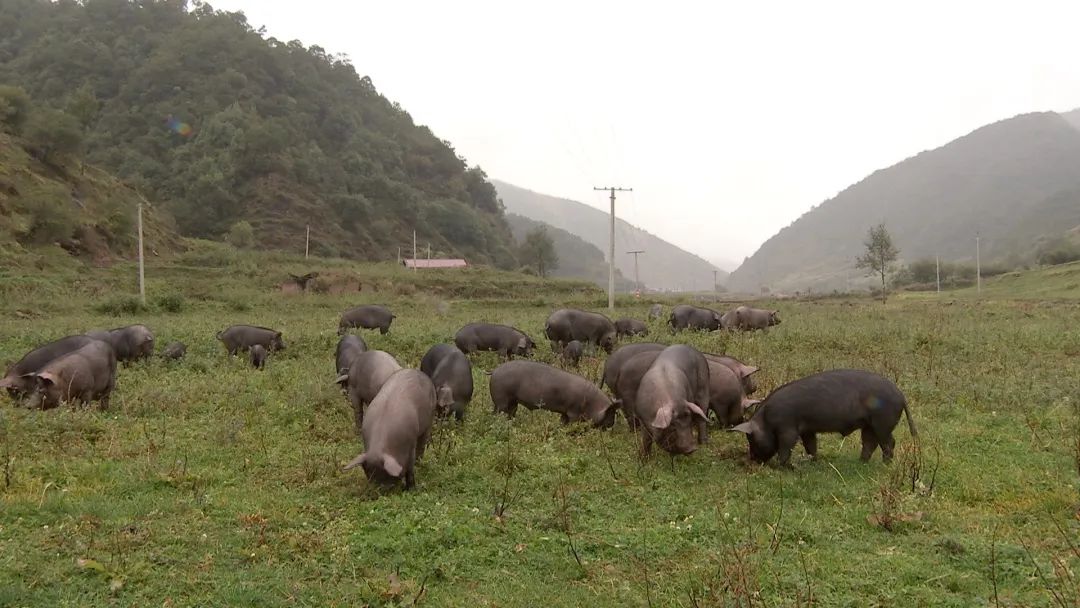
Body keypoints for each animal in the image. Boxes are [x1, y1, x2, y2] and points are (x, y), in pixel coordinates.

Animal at [488, 360, 617, 427]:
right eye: (610, 413)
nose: (611, 425)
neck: (592, 403)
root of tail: (494, 370)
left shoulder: (565, 412)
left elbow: (563, 421)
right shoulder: (574, 412)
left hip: (512, 402)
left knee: (509, 412)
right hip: (501, 399)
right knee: (498, 413)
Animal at [730, 371, 915, 466]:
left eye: (751, 438)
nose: (753, 459)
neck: (767, 419)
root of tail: (901, 395)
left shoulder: (787, 427)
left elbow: (786, 446)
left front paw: (785, 466)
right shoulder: (807, 430)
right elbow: (811, 445)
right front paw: (814, 461)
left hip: (883, 422)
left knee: (889, 442)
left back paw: (885, 464)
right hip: (868, 424)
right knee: (870, 442)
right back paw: (861, 462)